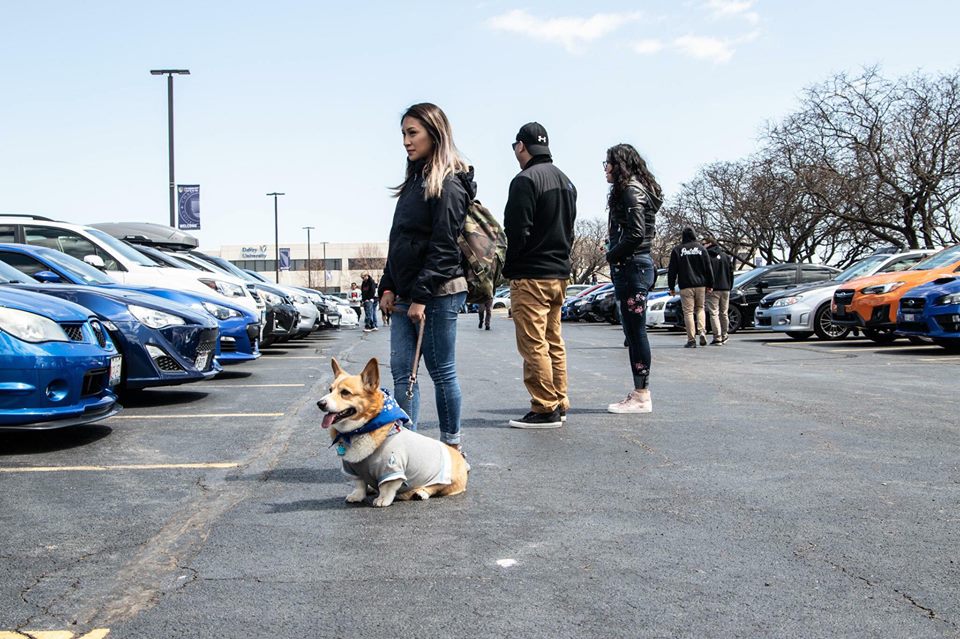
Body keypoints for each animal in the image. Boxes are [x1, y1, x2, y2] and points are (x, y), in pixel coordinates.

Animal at [316, 358, 468, 508]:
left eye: (345, 392)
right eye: (330, 390)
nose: (320, 403)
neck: (361, 429)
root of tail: (461, 458)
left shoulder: (392, 468)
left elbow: (387, 488)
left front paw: (382, 500)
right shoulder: (353, 470)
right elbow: (359, 484)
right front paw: (357, 496)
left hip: (444, 479)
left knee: (435, 488)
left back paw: (420, 493)